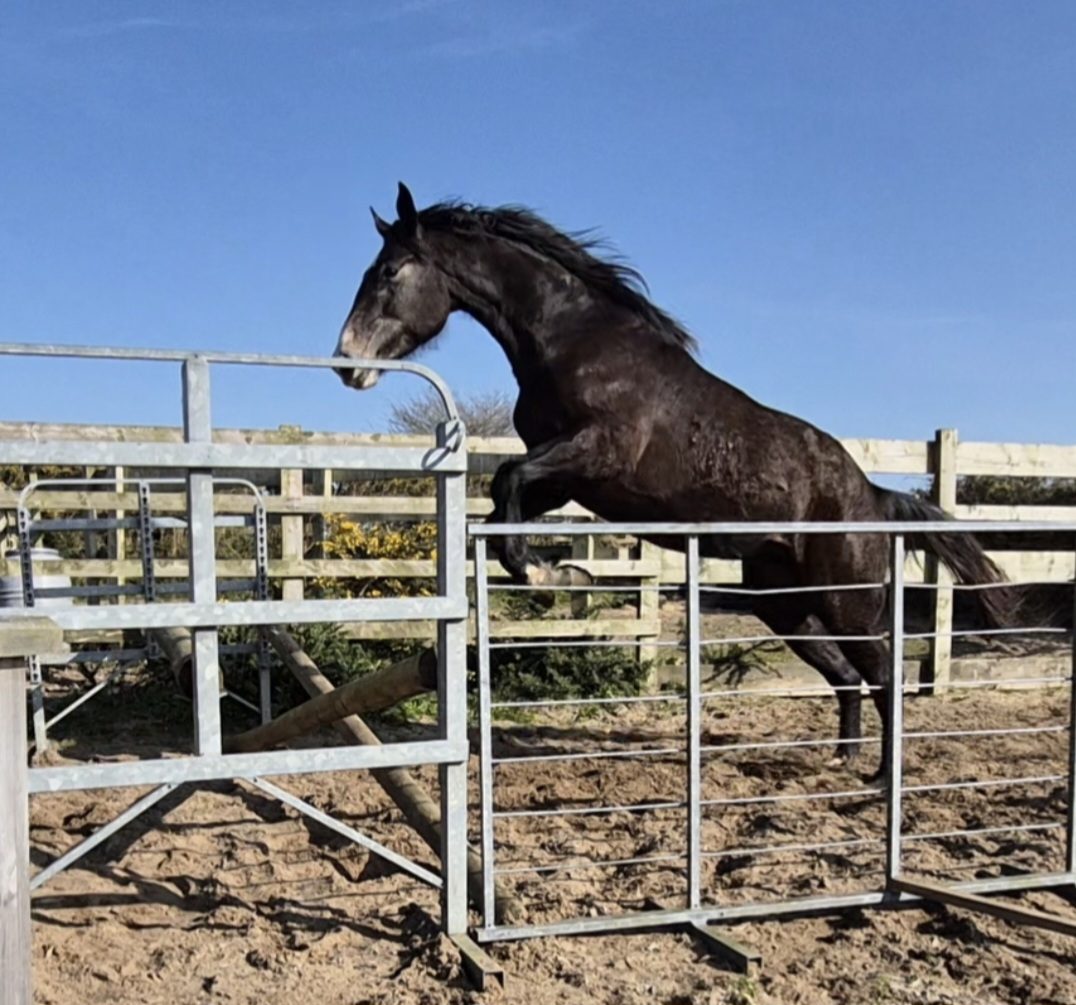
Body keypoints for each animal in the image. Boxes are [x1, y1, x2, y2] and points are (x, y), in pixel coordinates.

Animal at [332, 182, 1013, 775]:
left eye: (389, 272)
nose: (346, 363)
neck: (575, 343)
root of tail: (871, 496)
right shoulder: (570, 479)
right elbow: (505, 505)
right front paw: (558, 576)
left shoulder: (595, 455)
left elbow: (507, 481)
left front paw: (549, 576)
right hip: (784, 605)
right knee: (848, 677)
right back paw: (843, 762)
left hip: (847, 600)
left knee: (884, 673)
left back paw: (879, 777)